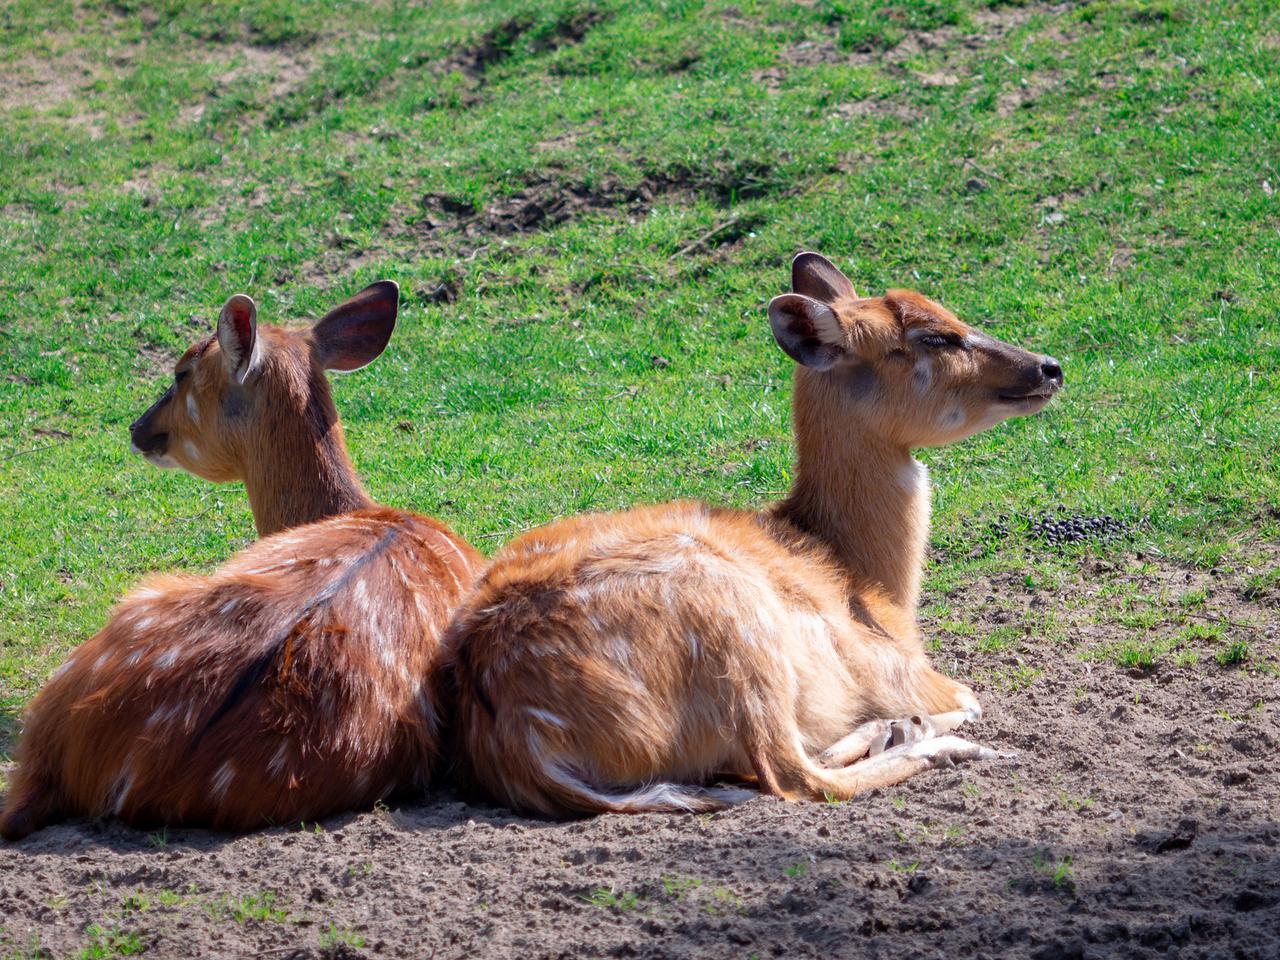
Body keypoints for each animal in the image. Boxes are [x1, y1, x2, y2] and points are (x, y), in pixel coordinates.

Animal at [445, 252, 1064, 814]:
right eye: (935, 337)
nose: (1049, 366)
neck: (865, 579)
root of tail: (524, 742)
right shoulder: (898, 669)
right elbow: (971, 696)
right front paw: (926, 724)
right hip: (736, 624)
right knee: (794, 774)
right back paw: (934, 740)